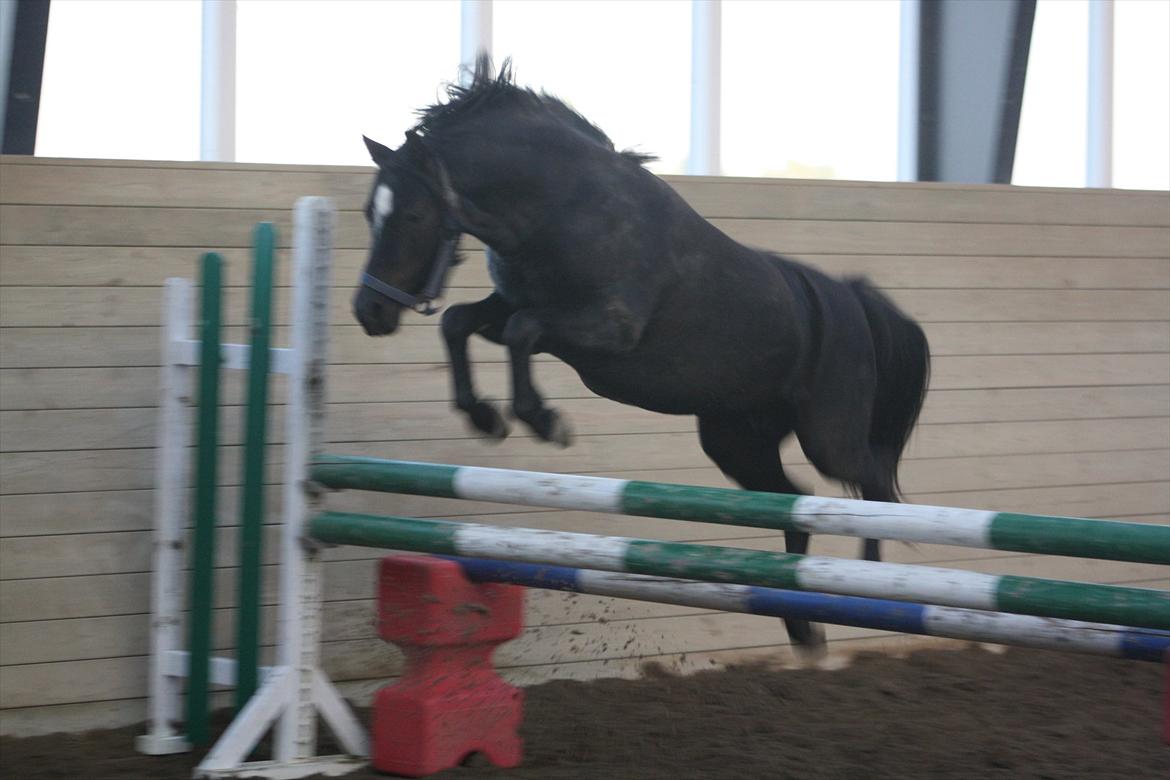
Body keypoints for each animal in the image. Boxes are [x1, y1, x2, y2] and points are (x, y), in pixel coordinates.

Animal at [353, 57, 931, 649]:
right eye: (371, 212)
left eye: (414, 216)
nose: (369, 312)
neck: (559, 210)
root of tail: (851, 300)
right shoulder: (511, 306)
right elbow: (461, 323)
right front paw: (486, 417)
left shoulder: (608, 332)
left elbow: (521, 331)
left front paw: (543, 421)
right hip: (735, 440)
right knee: (793, 501)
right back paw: (800, 624)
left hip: (827, 436)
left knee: (871, 486)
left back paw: (874, 588)